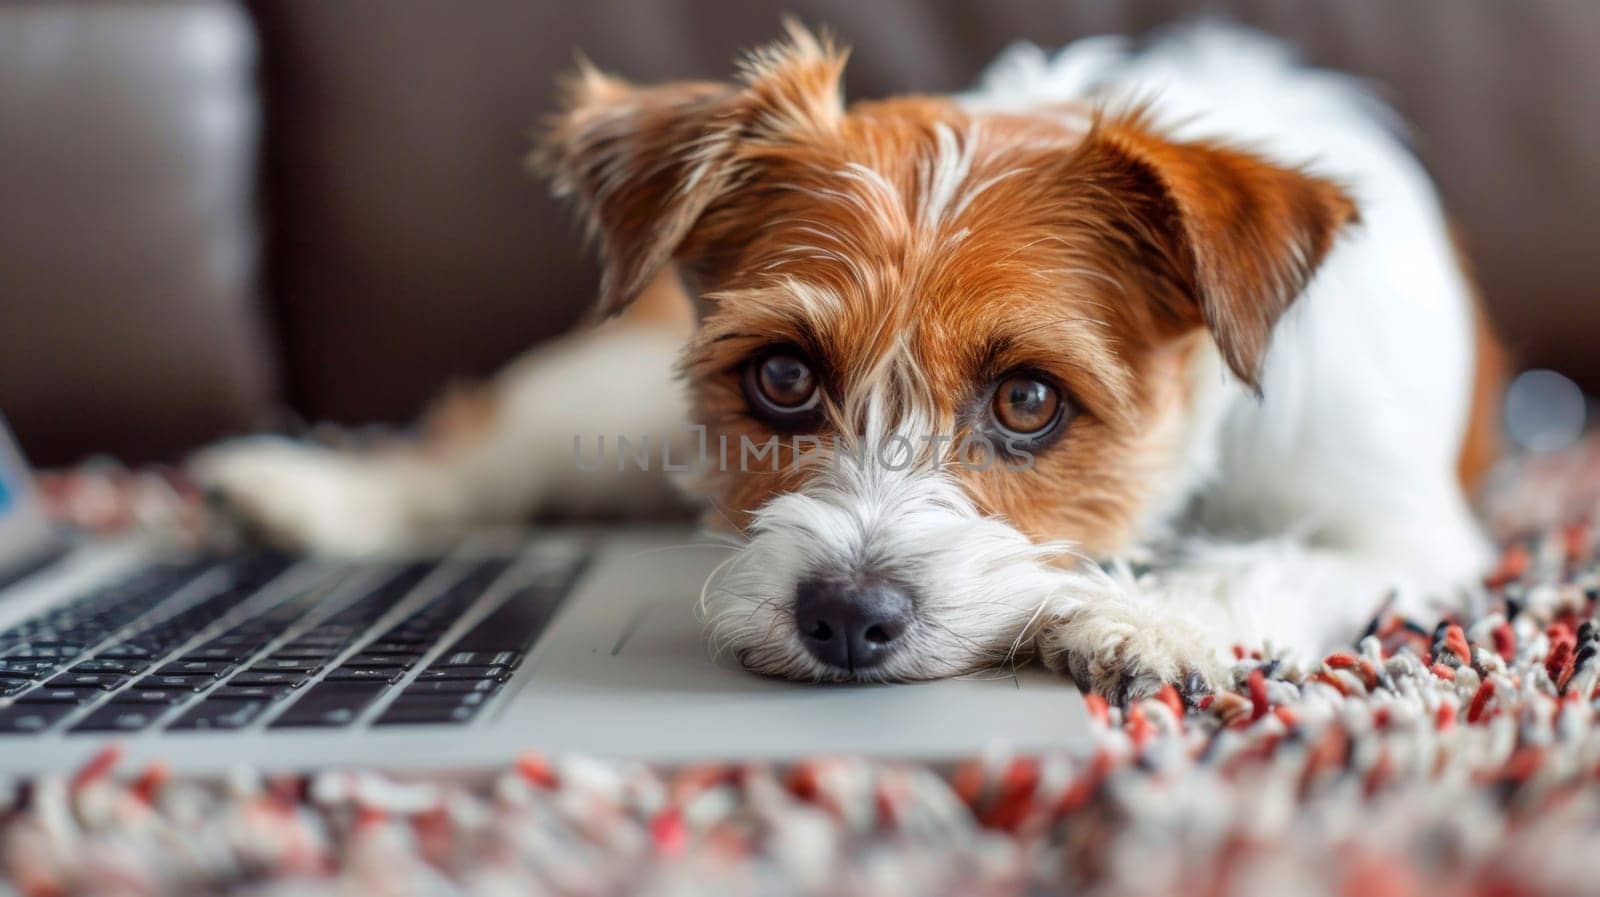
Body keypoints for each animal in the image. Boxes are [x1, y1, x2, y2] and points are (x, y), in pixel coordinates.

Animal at [193, 24, 1504, 703]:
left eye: (1028, 398)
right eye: (782, 377)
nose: (846, 618)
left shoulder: (1405, 527)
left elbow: (1288, 559)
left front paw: (1148, 614)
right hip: (603, 398)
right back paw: (316, 492)